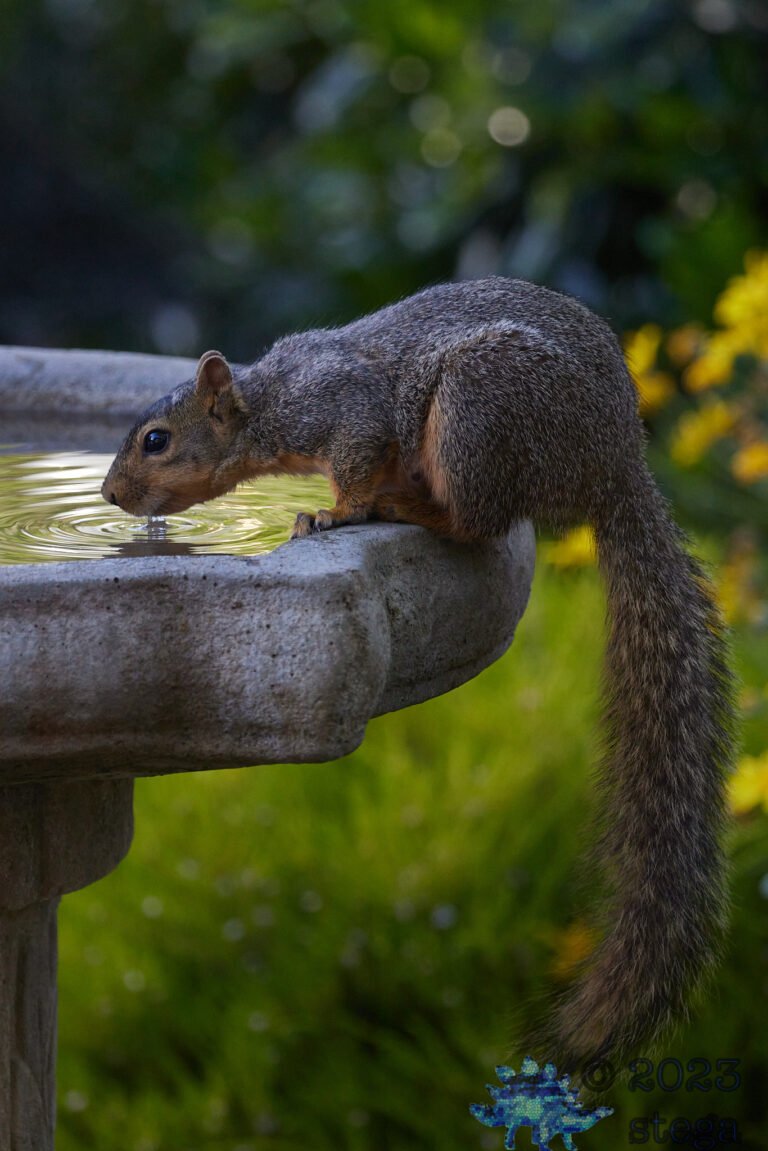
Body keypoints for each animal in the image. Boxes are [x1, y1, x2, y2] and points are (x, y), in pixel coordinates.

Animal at [103, 276, 735, 1070]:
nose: (109, 496)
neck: (268, 401)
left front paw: (331, 514)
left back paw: (406, 508)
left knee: (479, 522)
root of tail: (613, 466)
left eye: (156, 441)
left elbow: (356, 461)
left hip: (480, 411)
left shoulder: (345, 411)